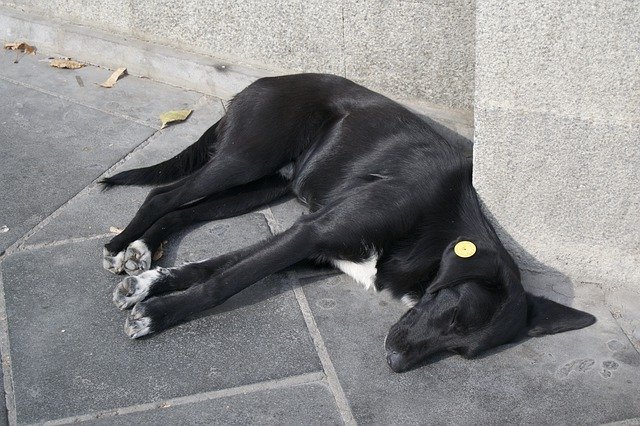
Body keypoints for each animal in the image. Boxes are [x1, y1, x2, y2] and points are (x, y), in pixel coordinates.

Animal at [100, 74, 596, 372]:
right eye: (453, 313)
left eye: (461, 351)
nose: (395, 361)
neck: (439, 230)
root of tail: (260, 82)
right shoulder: (313, 232)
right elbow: (226, 281)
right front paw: (158, 315)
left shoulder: (311, 243)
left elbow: (215, 266)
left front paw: (149, 287)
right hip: (244, 160)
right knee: (163, 195)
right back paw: (122, 243)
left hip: (264, 185)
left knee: (183, 210)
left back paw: (141, 253)